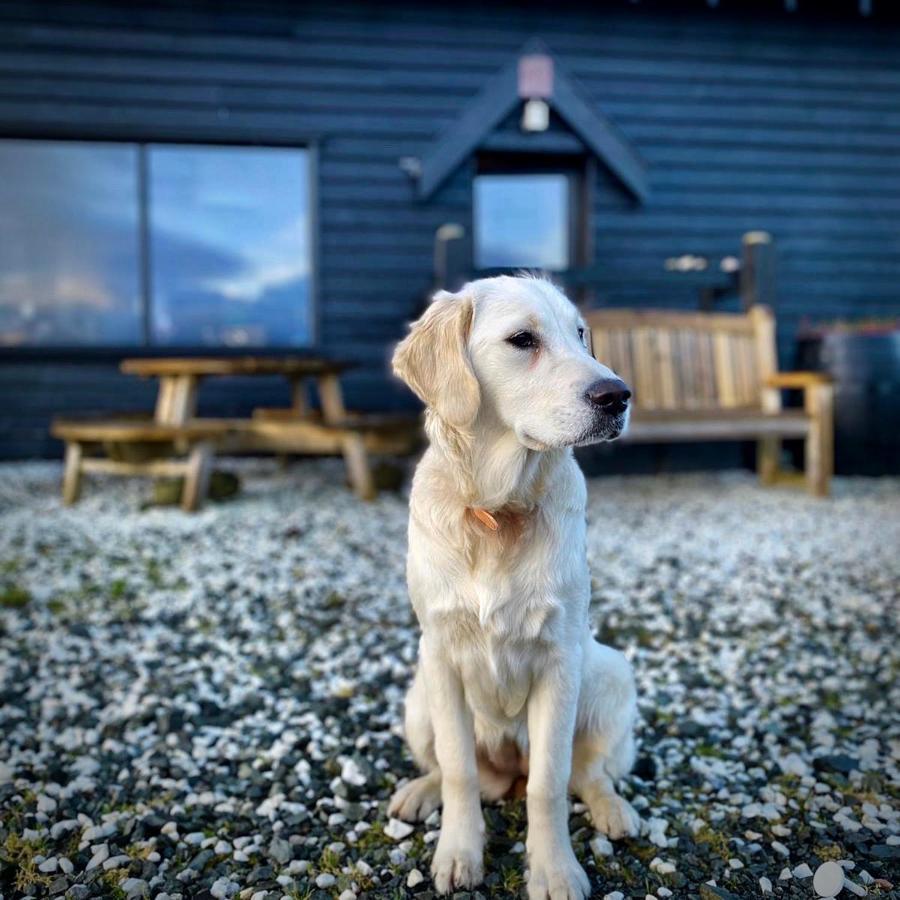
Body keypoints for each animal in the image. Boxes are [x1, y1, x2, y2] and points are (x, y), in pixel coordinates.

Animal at [388, 276, 640, 900]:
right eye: (523, 339)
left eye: (581, 334)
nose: (618, 395)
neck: (497, 509)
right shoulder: (440, 654)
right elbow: (457, 769)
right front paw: (458, 853)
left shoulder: (559, 659)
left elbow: (549, 782)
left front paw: (555, 869)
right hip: (417, 699)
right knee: (454, 769)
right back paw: (419, 792)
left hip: (610, 674)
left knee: (587, 773)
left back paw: (614, 811)